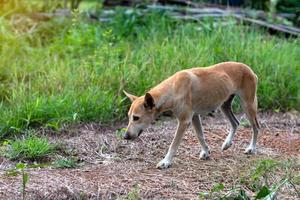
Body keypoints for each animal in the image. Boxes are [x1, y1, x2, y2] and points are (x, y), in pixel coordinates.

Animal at [123, 61, 258, 169]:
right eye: (129, 117)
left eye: (136, 118)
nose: (125, 136)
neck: (173, 89)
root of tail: (249, 69)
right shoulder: (194, 117)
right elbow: (200, 136)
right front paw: (206, 152)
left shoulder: (184, 121)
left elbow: (174, 144)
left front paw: (166, 161)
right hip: (224, 105)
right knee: (235, 123)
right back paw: (227, 143)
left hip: (248, 106)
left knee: (256, 127)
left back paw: (251, 148)